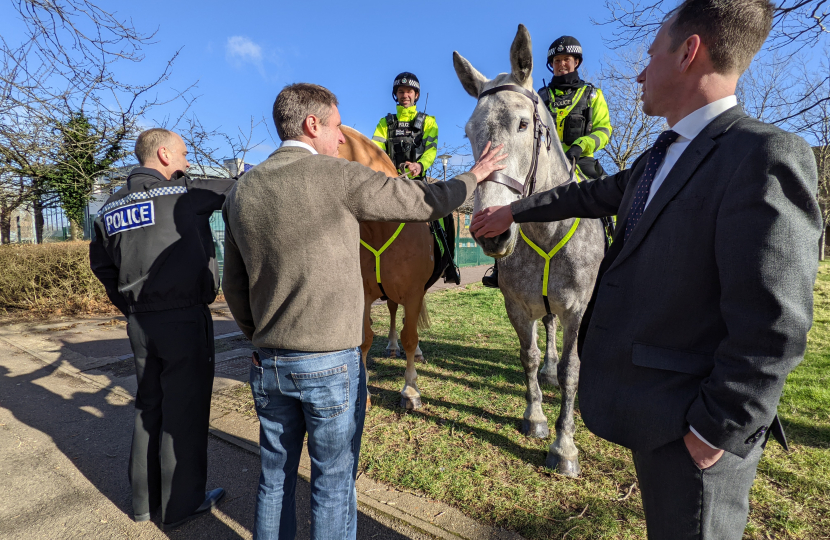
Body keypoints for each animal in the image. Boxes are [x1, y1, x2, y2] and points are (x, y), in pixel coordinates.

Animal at [342, 124, 438, 408]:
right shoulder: (364, 293)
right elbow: (365, 339)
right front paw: (364, 394)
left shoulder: (414, 292)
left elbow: (411, 337)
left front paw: (411, 390)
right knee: (395, 312)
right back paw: (392, 345)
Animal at [456, 24, 604, 476]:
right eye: (470, 131)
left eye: (523, 124)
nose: (488, 231)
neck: (546, 228)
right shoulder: (518, 306)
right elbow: (531, 357)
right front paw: (536, 417)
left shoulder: (577, 310)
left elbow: (573, 372)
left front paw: (565, 446)